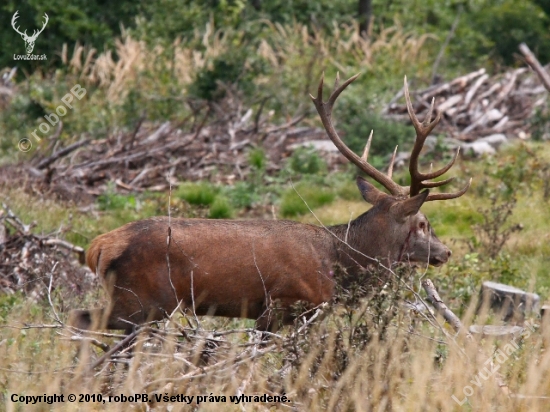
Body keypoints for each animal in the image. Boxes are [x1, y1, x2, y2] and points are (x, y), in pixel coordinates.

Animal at [69, 74, 472, 334]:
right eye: (423, 223)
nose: (446, 252)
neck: (338, 264)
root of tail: (98, 246)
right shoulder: (285, 305)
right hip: (144, 300)